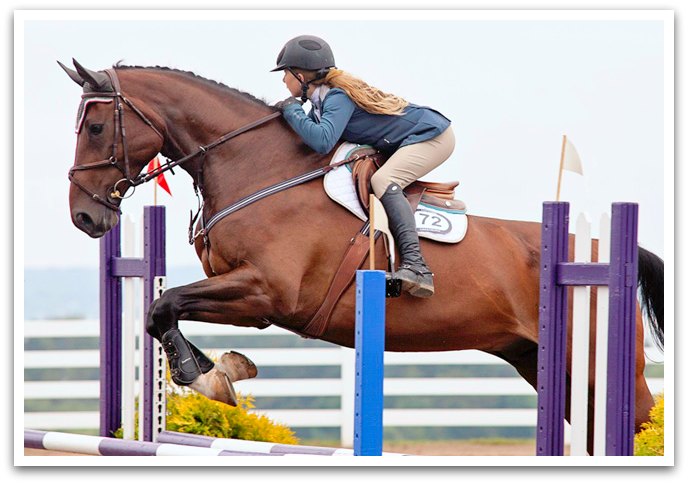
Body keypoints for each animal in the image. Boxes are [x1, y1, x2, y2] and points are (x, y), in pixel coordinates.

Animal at [60, 60, 668, 454]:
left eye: (97, 127)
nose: (84, 218)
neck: (257, 167)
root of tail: (598, 256)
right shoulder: (240, 289)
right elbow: (162, 311)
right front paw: (222, 372)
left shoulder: (266, 293)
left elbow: (164, 307)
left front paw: (207, 378)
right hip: (541, 363)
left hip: (596, 370)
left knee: (640, 427)